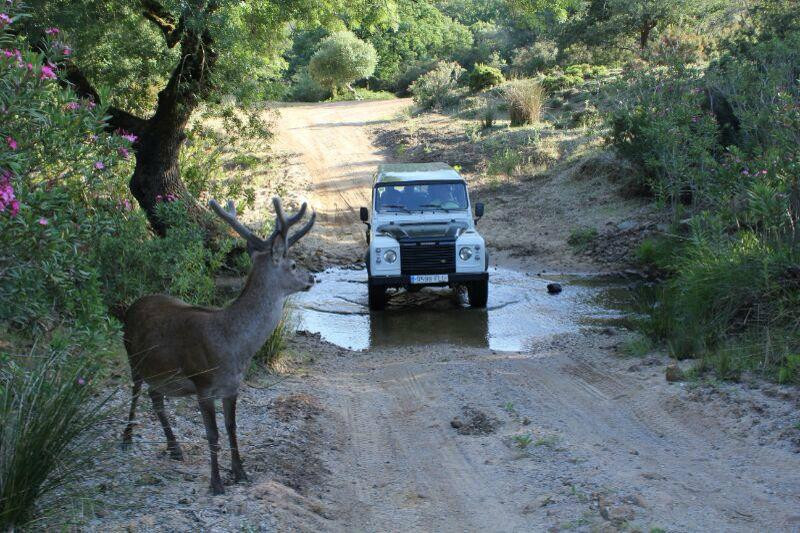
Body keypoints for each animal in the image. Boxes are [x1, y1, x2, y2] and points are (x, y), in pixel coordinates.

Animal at [122, 195, 316, 494]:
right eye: (293, 264)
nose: (312, 278)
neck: (233, 346)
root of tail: (133, 305)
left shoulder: (233, 386)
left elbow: (231, 427)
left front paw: (240, 472)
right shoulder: (202, 382)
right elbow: (211, 434)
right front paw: (216, 483)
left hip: (160, 372)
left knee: (156, 399)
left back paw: (174, 447)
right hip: (132, 356)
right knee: (135, 393)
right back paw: (127, 437)